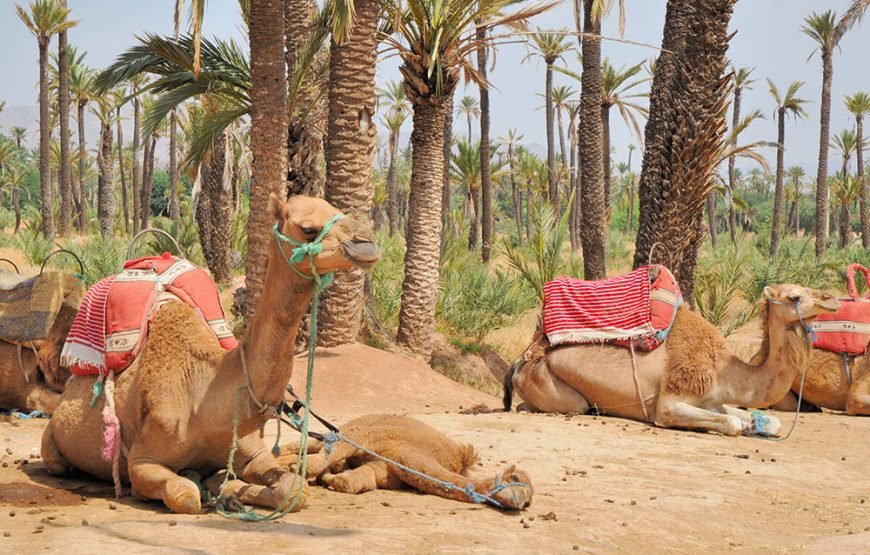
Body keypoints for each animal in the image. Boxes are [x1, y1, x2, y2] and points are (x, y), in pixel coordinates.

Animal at [41, 194, 381, 514]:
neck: (205, 398)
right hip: (52, 444)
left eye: (336, 209)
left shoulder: (253, 452)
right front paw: (212, 488)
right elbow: (185, 495)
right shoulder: (142, 460)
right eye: (309, 229)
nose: (368, 242)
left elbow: (294, 490)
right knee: (59, 463)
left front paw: (227, 488)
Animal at [275, 414, 533, 510]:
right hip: (353, 427)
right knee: (309, 444)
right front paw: (304, 471)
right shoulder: (372, 439)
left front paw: (331, 478)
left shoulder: (386, 468)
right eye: (515, 478)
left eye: (530, 499)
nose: (521, 502)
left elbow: (353, 482)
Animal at [504, 284, 840, 436]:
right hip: (554, 387)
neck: (725, 370)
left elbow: (770, 420)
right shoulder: (670, 403)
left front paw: (757, 424)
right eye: (795, 297)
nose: (832, 298)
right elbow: (731, 423)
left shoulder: (713, 399)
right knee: (559, 406)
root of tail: (522, 359)